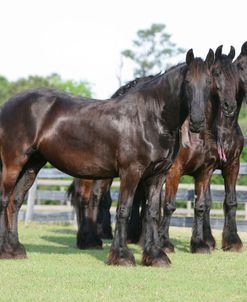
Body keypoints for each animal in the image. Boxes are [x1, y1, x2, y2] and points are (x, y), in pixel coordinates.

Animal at [0, 49, 213, 266]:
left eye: (209, 83)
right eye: (187, 82)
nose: (197, 122)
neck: (150, 117)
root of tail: (8, 104)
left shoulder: (157, 175)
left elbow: (152, 213)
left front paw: (155, 256)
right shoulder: (131, 172)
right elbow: (124, 210)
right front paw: (121, 256)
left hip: (31, 166)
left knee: (15, 201)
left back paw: (15, 249)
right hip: (13, 164)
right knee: (4, 200)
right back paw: (6, 250)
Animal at [159, 44, 244, 252]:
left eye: (235, 74)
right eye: (216, 73)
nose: (230, 106)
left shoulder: (223, 167)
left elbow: (209, 204)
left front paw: (205, 243)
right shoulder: (175, 171)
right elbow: (169, 205)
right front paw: (164, 243)